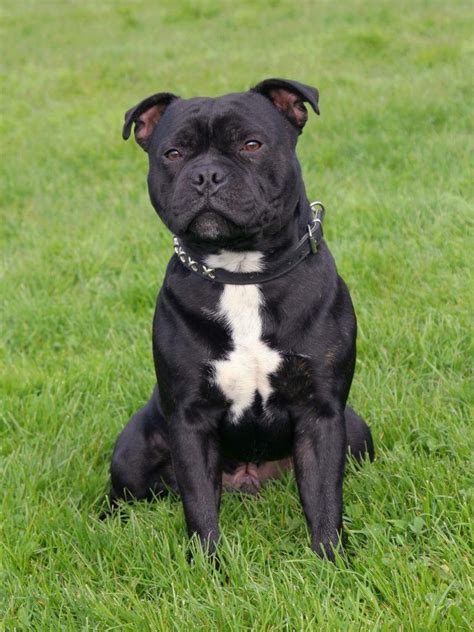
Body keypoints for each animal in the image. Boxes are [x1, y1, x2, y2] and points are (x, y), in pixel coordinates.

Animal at [111, 80, 374, 564]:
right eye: (173, 153)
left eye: (251, 145)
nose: (207, 176)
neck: (241, 271)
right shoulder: (190, 420)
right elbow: (199, 503)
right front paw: (207, 568)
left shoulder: (322, 413)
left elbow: (325, 497)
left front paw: (332, 562)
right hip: (132, 451)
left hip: (357, 432)